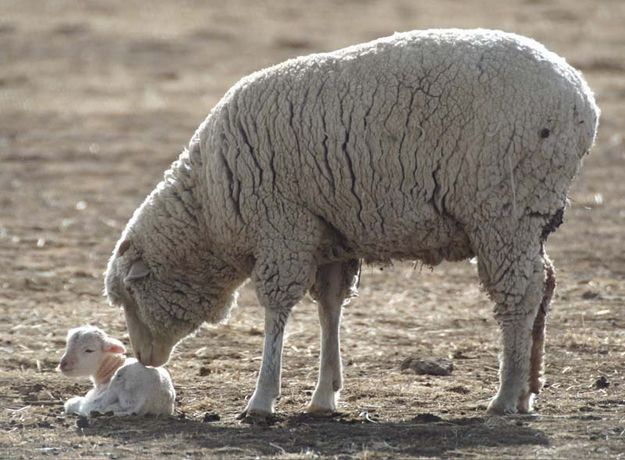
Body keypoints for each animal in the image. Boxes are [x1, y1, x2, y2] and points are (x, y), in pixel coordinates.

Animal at [103, 28, 600, 420]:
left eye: (129, 297)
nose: (143, 360)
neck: (208, 211)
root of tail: (582, 99)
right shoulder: (329, 237)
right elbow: (330, 309)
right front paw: (324, 395)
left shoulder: (283, 225)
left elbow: (277, 310)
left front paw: (262, 399)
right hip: (530, 215)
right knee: (544, 284)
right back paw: (529, 390)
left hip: (503, 211)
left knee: (519, 294)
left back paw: (505, 394)